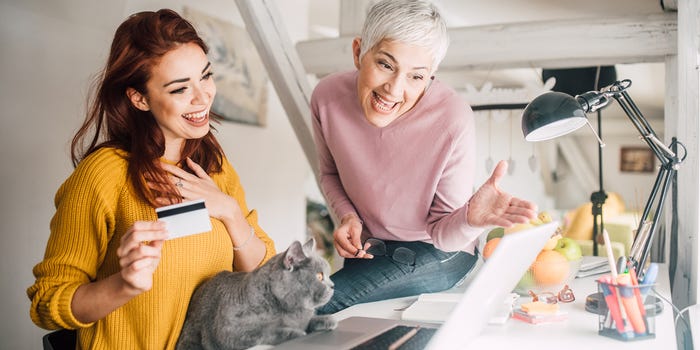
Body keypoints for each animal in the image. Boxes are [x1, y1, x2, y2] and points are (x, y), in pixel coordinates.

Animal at [176, 239, 338, 348]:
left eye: (327, 275)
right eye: (319, 276)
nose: (333, 285)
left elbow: (308, 321)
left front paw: (327, 320)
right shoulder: (230, 332)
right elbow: (265, 333)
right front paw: (296, 333)